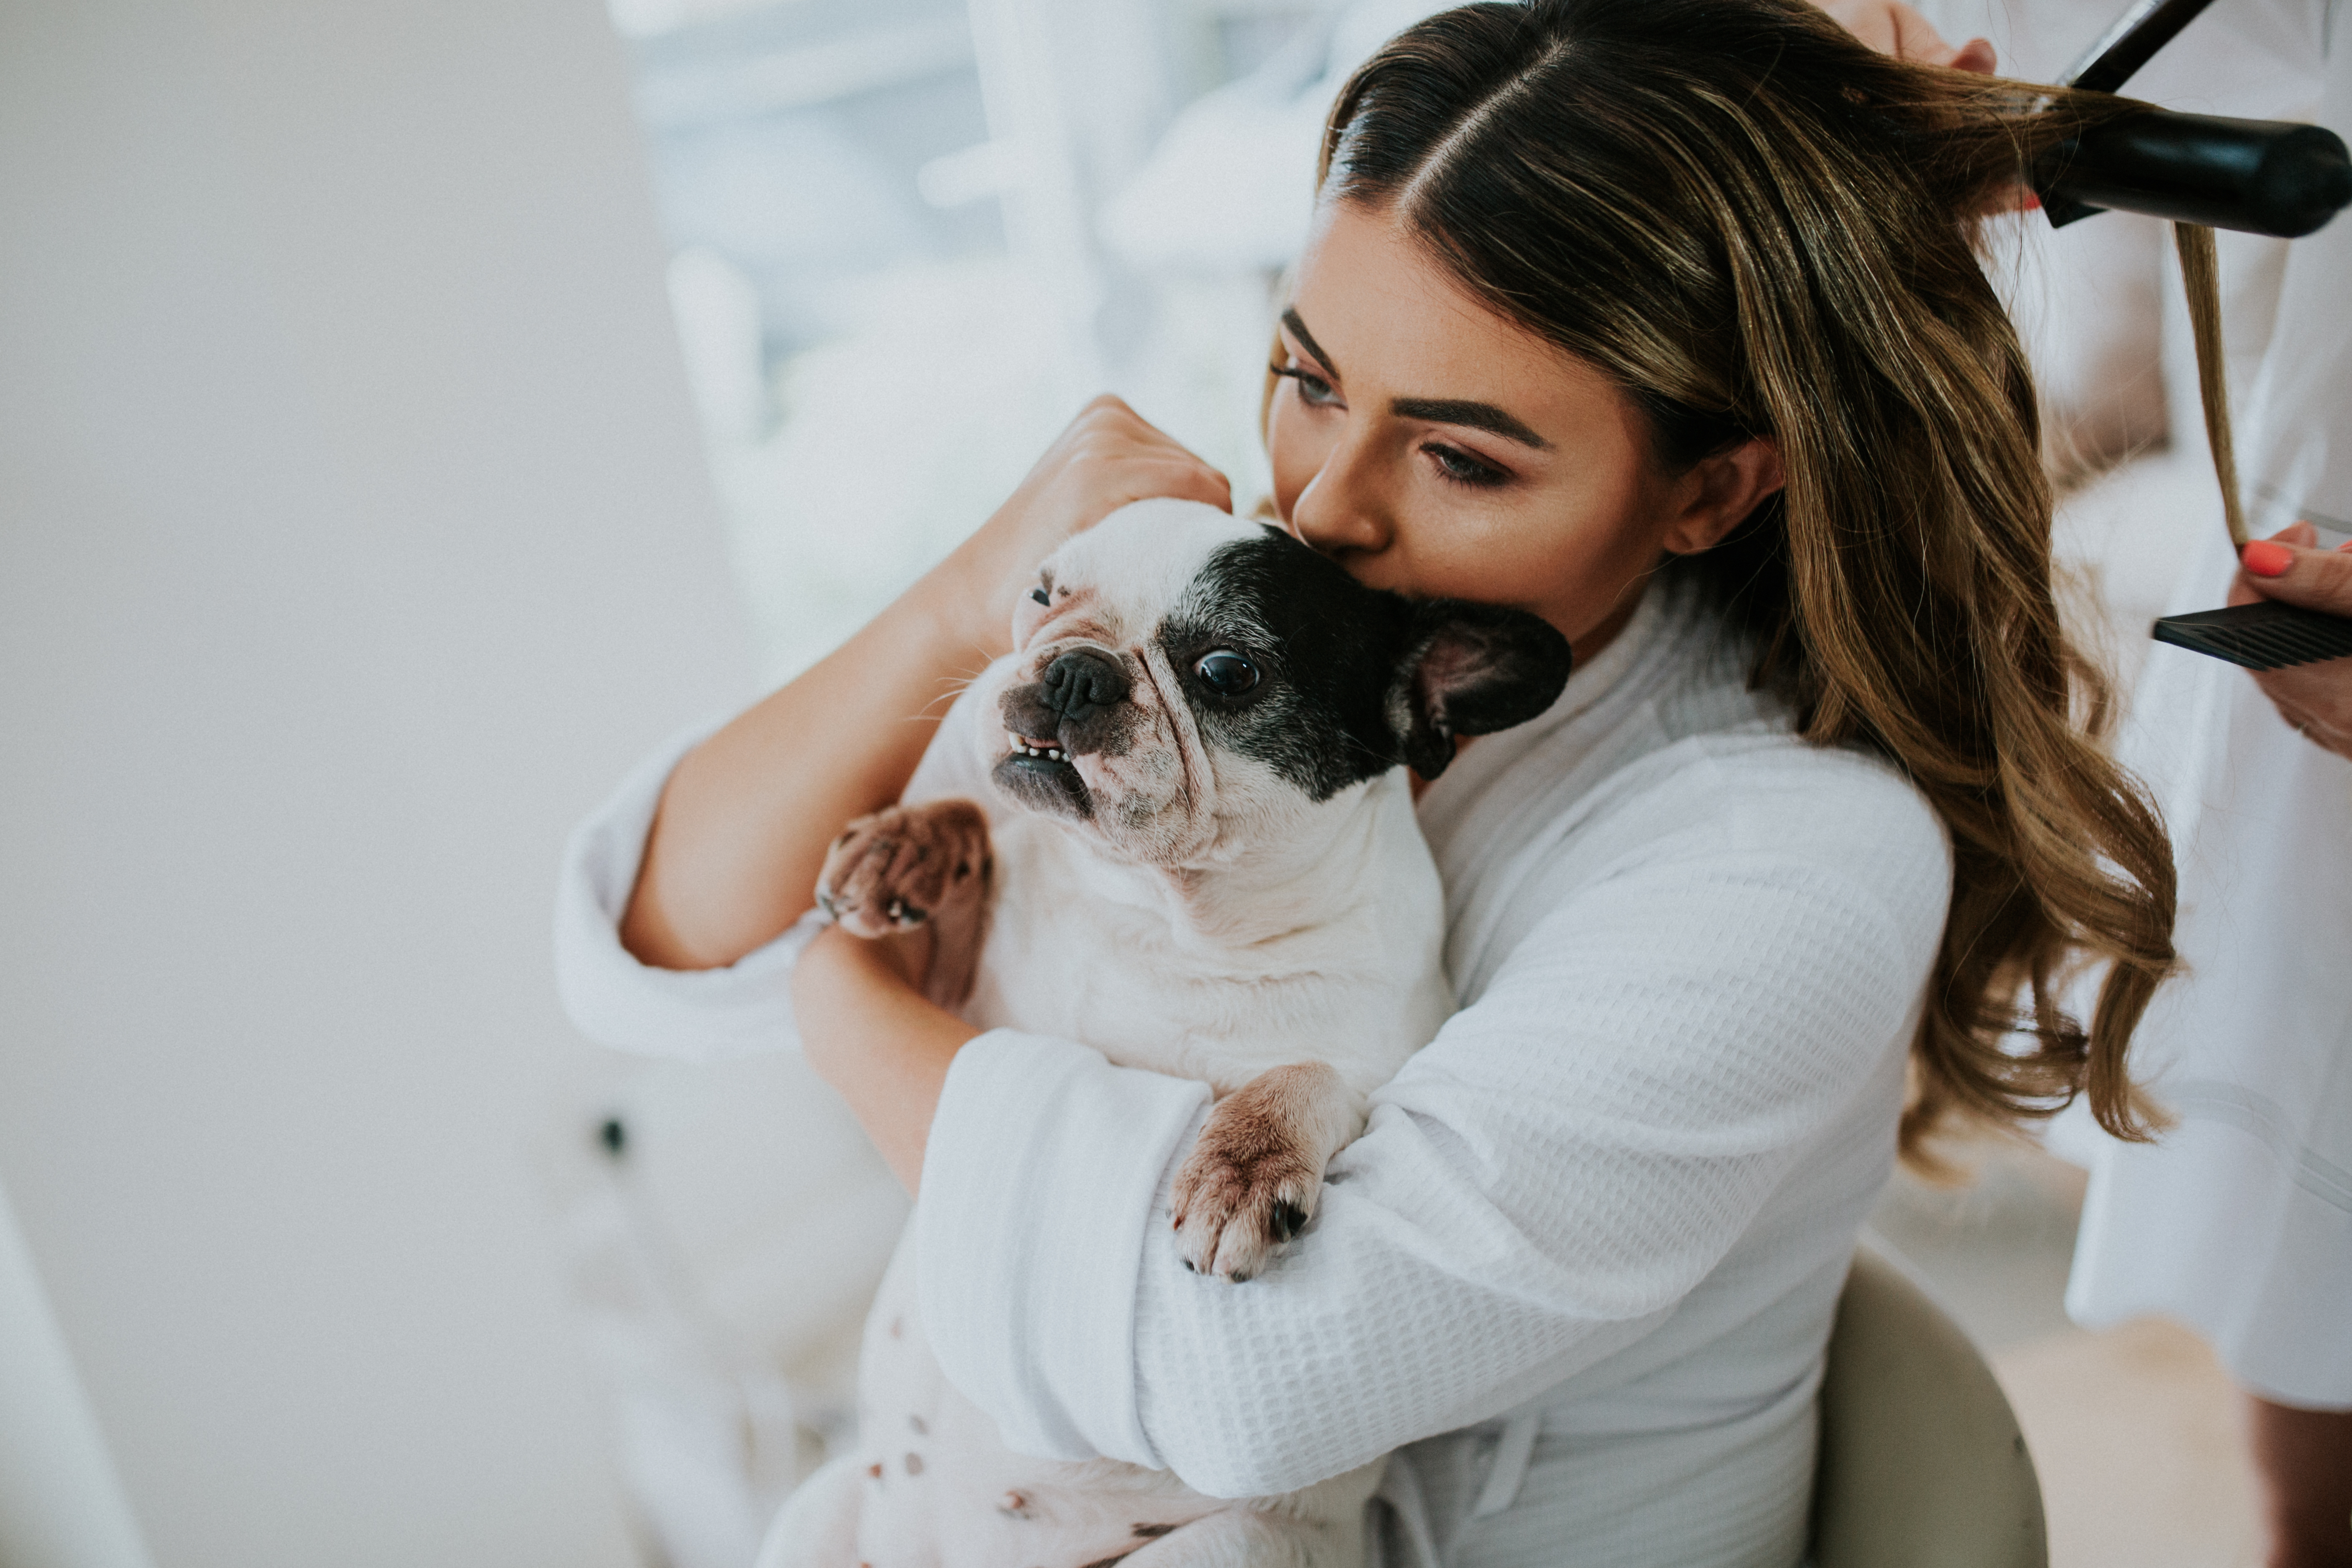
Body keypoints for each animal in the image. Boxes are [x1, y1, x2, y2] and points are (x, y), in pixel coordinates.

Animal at [771, 501, 1571, 1568]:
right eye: (1042, 593)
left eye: (1227, 670)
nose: (1074, 668)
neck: (1165, 914)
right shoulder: (959, 1005)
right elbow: (982, 830)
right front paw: (907, 841)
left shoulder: (1381, 1057)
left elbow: (1309, 1074)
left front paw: (1243, 1168)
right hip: (816, 1517)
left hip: (1234, 1543)